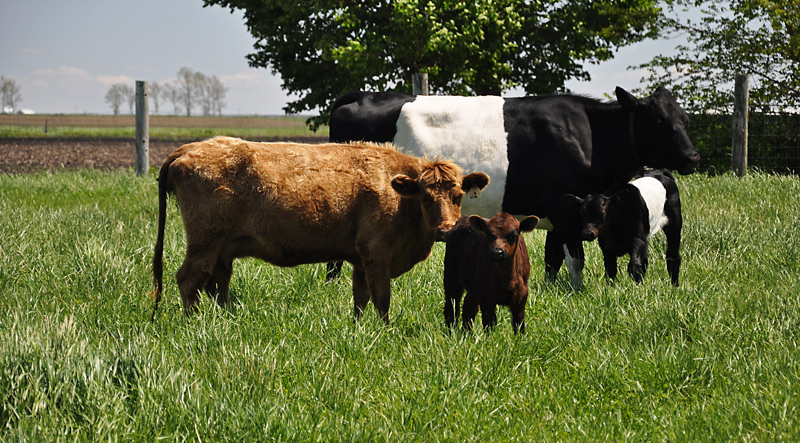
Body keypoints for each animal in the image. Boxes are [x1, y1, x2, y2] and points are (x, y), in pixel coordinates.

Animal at [150, 136, 489, 323]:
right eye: (425, 197)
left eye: (458, 196)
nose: (446, 229)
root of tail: (186, 149)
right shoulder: (377, 255)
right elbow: (382, 300)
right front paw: (385, 331)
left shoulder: (360, 261)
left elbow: (360, 299)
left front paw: (358, 329)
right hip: (205, 242)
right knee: (189, 279)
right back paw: (193, 324)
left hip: (221, 250)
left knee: (215, 284)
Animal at [327, 87, 699, 289]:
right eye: (659, 121)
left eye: (686, 119)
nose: (693, 157)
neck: (591, 136)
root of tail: (358, 97)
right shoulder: (564, 207)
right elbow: (575, 258)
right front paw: (578, 292)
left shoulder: (555, 212)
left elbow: (553, 259)